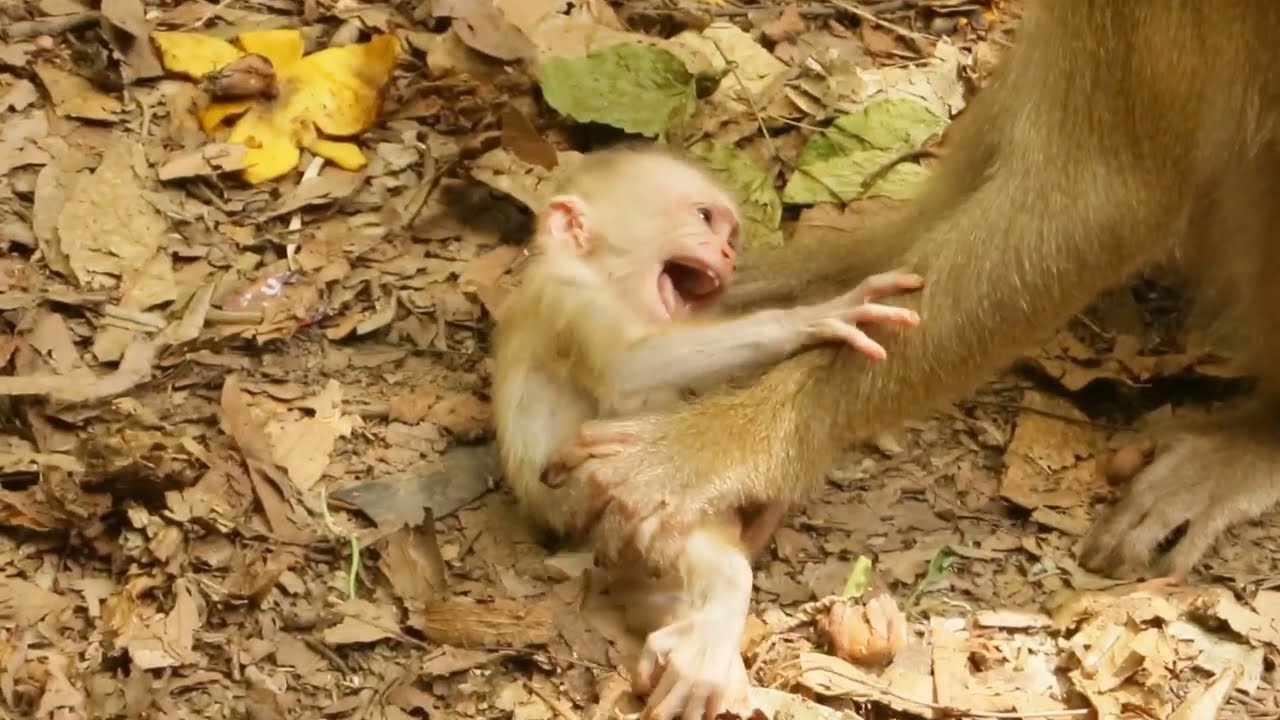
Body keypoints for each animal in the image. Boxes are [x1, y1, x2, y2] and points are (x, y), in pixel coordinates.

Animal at [491, 145, 924, 720]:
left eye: (730, 236)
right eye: (703, 217)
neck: (605, 280)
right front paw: (810, 318)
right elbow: (629, 366)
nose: (726, 252)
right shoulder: (569, 297)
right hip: (574, 504)